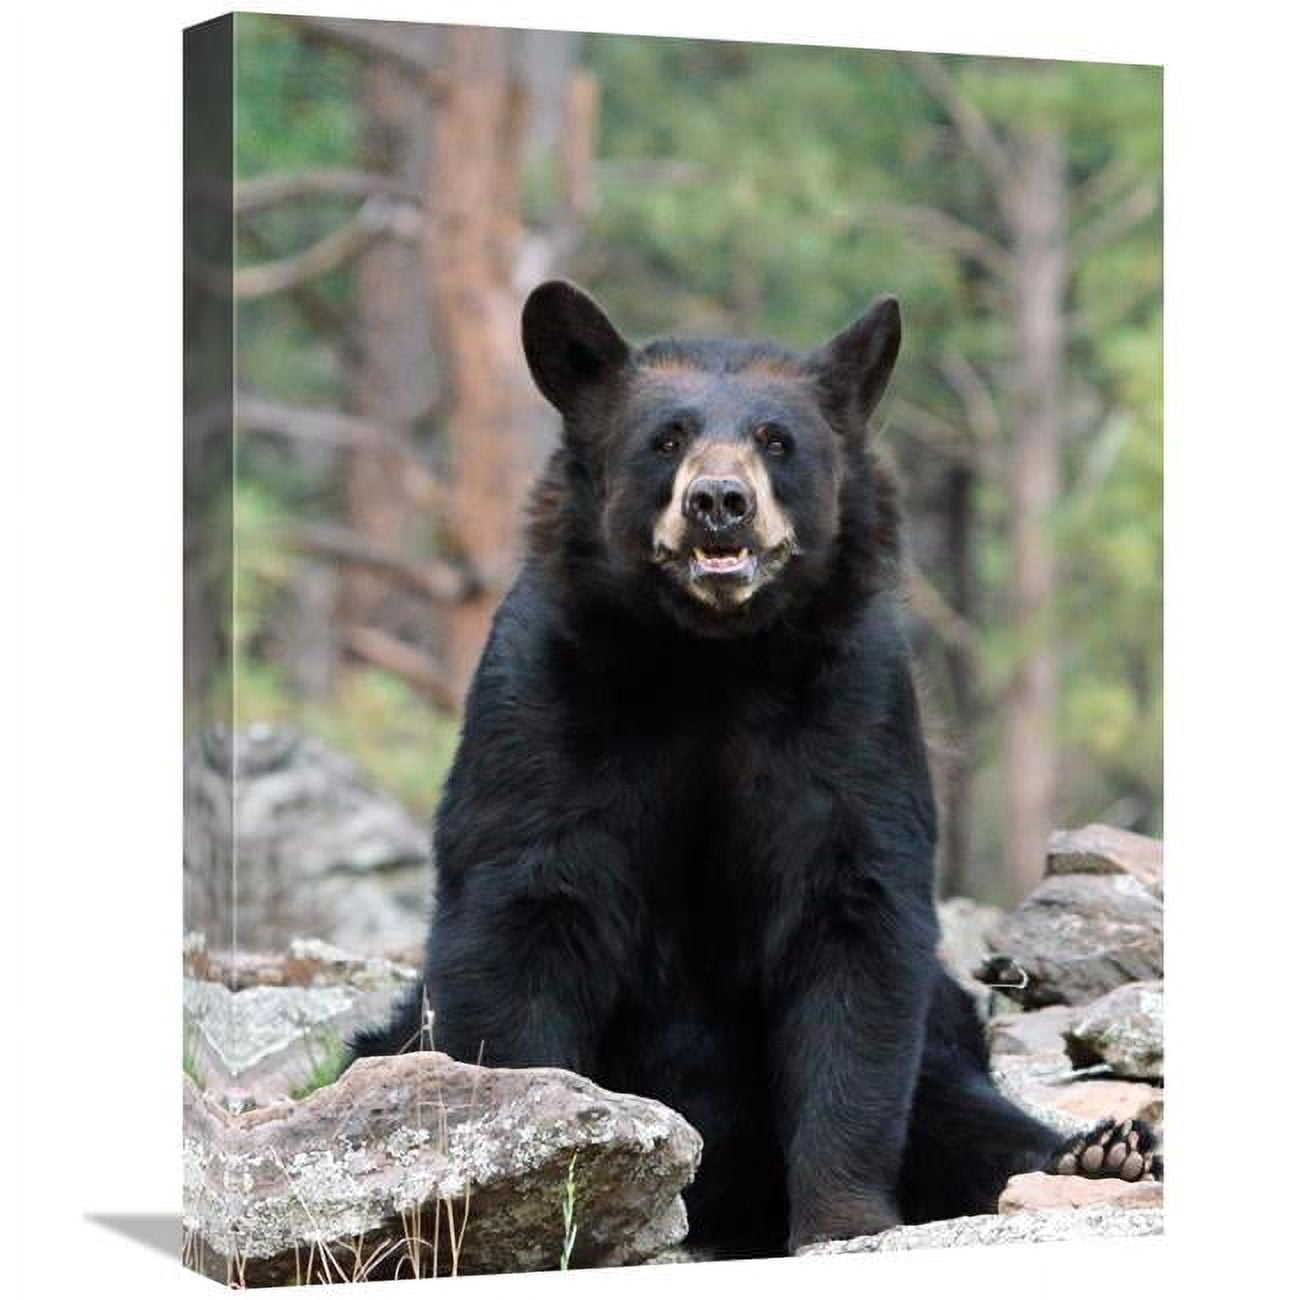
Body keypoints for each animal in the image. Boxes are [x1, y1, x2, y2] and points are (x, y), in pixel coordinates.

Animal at [352, 281, 1160, 1259]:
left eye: (779, 441)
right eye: (666, 438)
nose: (720, 502)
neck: (712, 659)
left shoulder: (856, 711)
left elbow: (854, 928)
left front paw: (843, 1221)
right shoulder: (545, 700)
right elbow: (521, 911)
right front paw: (532, 1175)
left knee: (959, 1102)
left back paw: (1100, 1154)